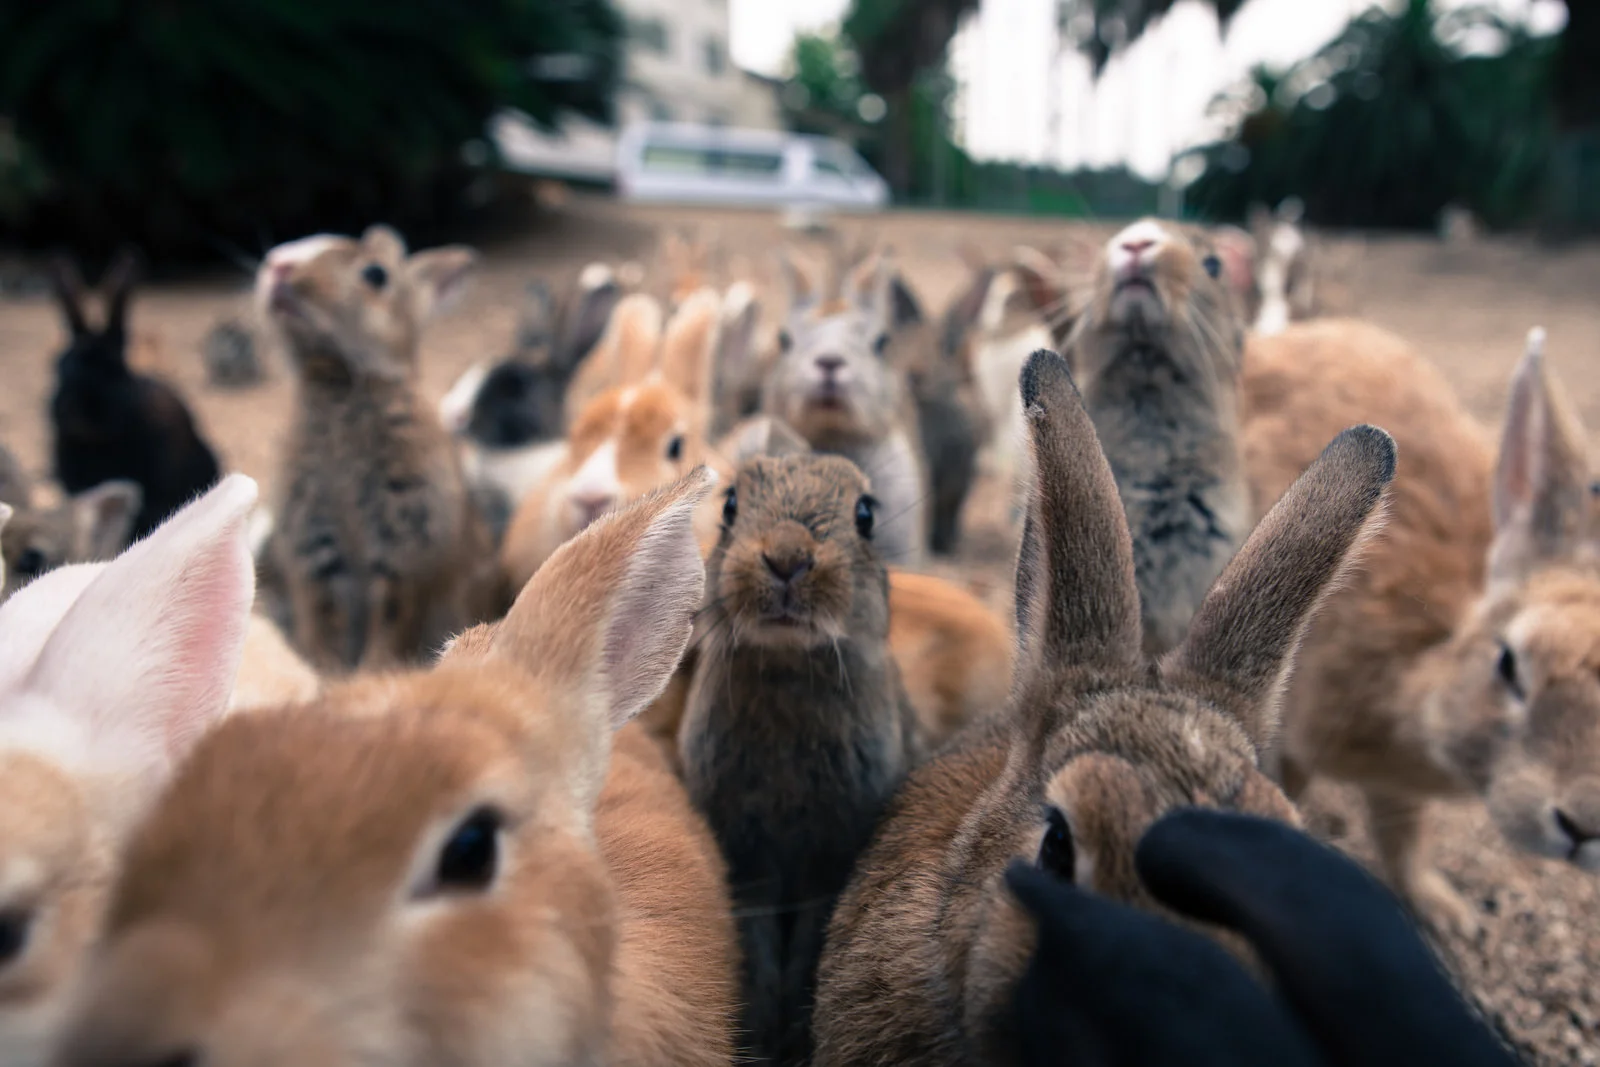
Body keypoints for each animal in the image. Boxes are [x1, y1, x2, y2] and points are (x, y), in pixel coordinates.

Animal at [256, 225, 502, 673]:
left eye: (376, 274)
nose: (278, 265)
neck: (335, 380)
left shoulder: (404, 548)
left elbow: (390, 619)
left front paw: (370, 671)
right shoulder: (312, 549)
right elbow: (323, 616)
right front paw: (327, 672)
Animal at [681, 451, 922, 1067]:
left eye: (865, 515)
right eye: (730, 506)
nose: (787, 558)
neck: (789, 666)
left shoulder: (828, 856)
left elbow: (812, 934)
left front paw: (791, 1037)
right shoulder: (749, 860)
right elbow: (758, 943)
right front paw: (761, 1034)